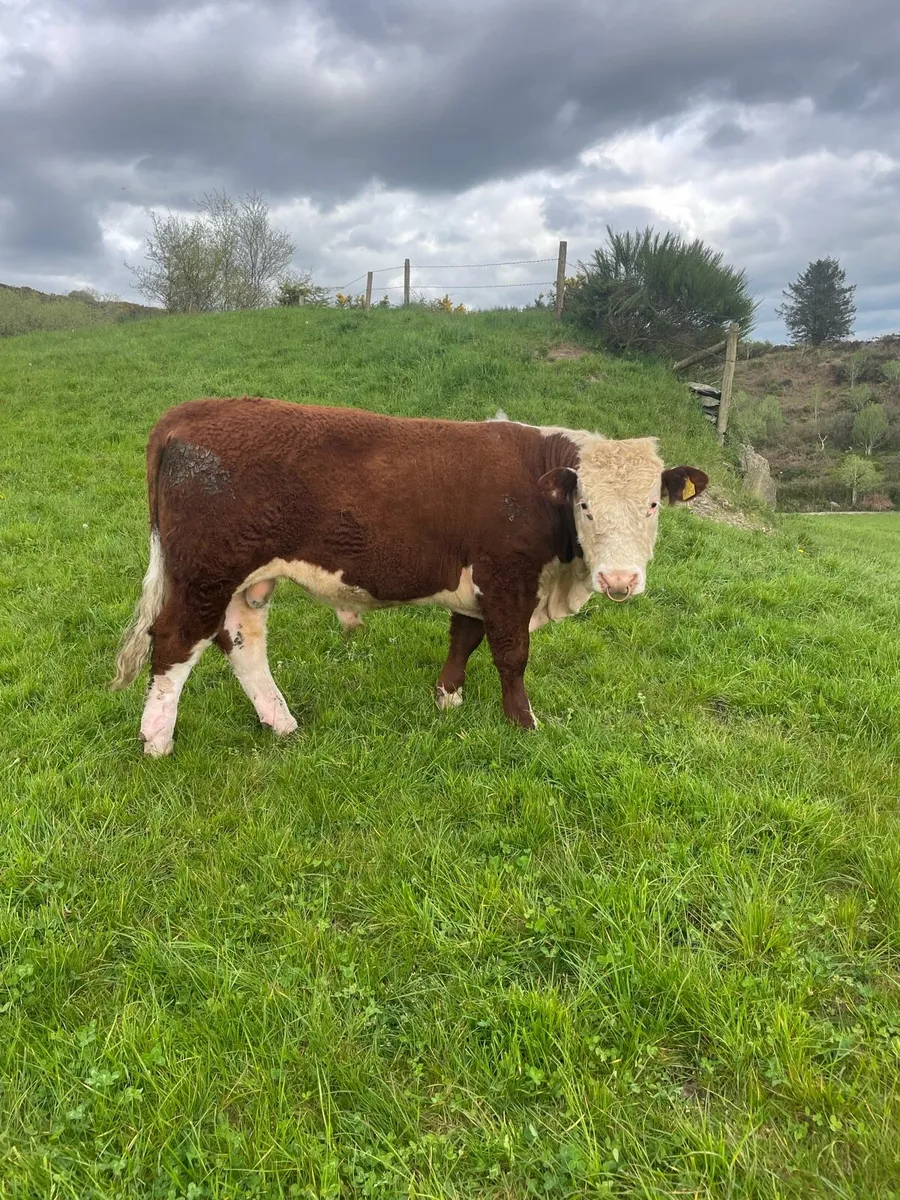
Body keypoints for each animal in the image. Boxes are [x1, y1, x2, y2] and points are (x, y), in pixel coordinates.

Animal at [111, 397, 708, 755]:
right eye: (585, 506)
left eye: (653, 504)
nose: (620, 581)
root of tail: (191, 411)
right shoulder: (507, 576)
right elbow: (511, 653)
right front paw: (523, 724)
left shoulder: (477, 583)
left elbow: (465, 635)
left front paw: (448, 699)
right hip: (204, 573)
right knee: (174, 642)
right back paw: (156, 742)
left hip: (243, 580)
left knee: (240, 642)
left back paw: (280, 723)